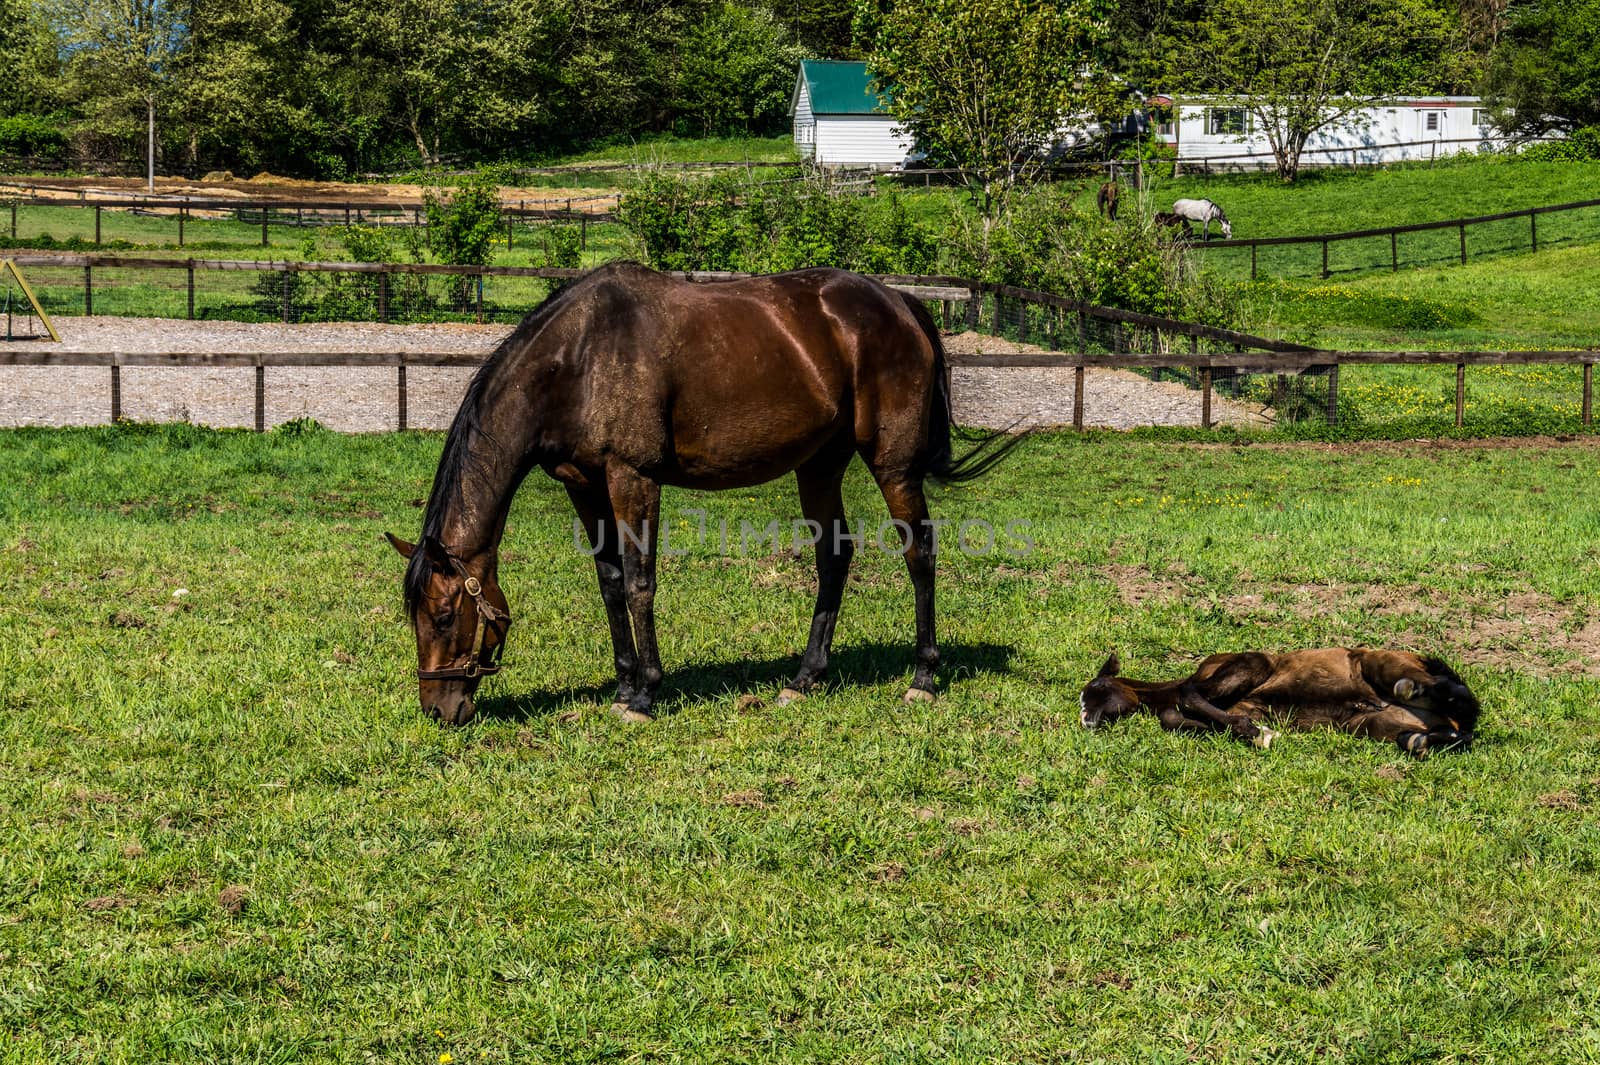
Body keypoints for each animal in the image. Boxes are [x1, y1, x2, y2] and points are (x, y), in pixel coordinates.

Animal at [380, 260, 1017, 722]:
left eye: (443, 615)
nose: (437, 709)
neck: (579, 359)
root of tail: (900, 302)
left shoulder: (632, 477)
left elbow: (641, 581)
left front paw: (644, 695)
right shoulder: (584, 486)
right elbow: (611, 584)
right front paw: (622, 684)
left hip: (893, 466)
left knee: (919, 554)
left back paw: (924, 677)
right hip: (819, 466)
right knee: (834, 558)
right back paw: (804, 679)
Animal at [1081, 646, 1478, 754]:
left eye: (1094, 689)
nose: (1085, 720)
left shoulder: (1251, 663)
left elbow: (1188, 696)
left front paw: (1259, 734)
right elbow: (1174, 716)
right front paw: (1252, 730)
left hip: (1381, 664)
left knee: (1454, 693)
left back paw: (1418, 690)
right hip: (1372, 724)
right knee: (1460, 730)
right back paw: (1423, 740)